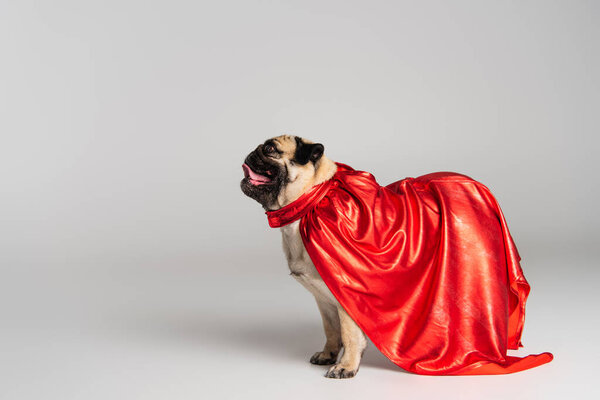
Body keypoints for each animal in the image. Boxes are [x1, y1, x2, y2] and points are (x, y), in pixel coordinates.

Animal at [240, 134, 366, 378]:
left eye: (270, 148)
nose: (253, 151)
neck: (309, 203)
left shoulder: (346, 297)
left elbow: (349, 333)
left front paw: (346, 365)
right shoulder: (323, 300)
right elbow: (331, 329)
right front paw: (328, 354)